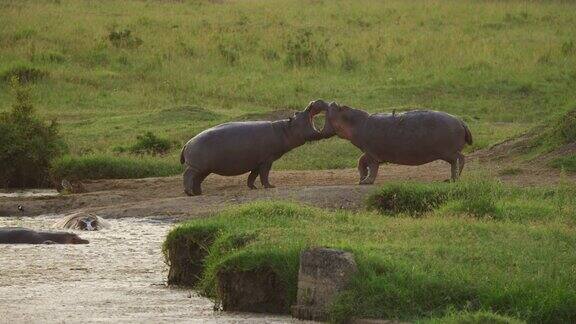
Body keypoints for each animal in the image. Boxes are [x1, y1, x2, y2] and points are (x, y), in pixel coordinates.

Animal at [178, 102, 330, 196]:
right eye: (298, 112)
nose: (313, 102)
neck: (287, 129)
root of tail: (187, 143)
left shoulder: (258, 162)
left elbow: (253, 175)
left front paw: (253, 187)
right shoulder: (267, 160)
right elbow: (264, 174)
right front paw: (270, 186)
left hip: (204, 168)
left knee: (197, 180)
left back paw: (199, 193)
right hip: (196, 166)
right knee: (187, 175)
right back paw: (190, 193)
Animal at [316, 100, 472, 184]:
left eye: (335, 106)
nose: (321, 102)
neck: (354, 122)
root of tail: (461, 121)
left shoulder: (372, 154)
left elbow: (373, 167)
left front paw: (366, 182)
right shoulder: (368, 151)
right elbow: (361, 161)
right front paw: (361, 179)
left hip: (448, 152)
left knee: (459, 159)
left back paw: (453, 179)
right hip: (448, 152)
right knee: (458, 160)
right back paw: (451, 179)